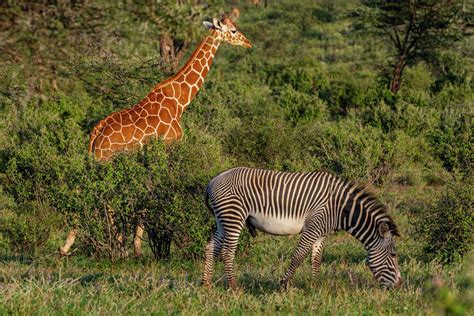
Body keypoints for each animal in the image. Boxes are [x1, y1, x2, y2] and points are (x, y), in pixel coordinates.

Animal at [59, 13, 254, 258]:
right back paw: (110, 246)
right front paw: (146, 244)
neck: (180, 102)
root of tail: (96, 133)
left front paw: (140, 243)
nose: (249, 43)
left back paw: (71, 245)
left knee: (82, 187)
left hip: (93, 160)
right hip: (106, 160)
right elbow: (163, 190)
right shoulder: (169, 148)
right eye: (234, 30)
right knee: (104, 193)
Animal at [202, 167, 402, 290]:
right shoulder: (312, 227)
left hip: (223, 219)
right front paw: (283, 285)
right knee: (227, 252)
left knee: (211, 247)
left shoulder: (322, 233)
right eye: (393, 255)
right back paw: (234, 287)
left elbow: (316, 258)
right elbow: (298, 256)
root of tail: (212, 181)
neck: (339, 208)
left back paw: (206, 284)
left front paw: (315, 285)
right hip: (233, 216)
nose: (399, 285)